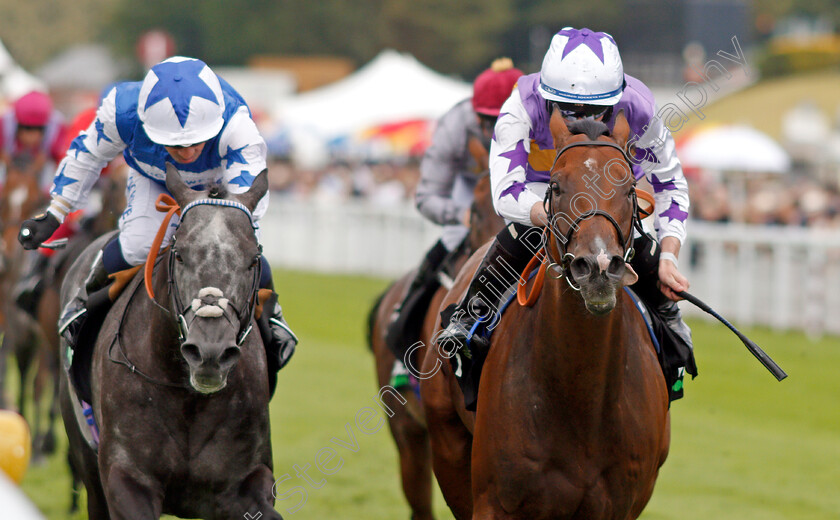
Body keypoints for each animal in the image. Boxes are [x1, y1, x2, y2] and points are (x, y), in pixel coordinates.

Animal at [60, 166, 282, 520]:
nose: (210, 352)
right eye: (180, 255)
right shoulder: (126, 479)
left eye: (252, 260)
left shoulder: (248, 480)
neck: (186, 397)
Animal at [420, 110, 668, 520]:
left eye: (630, 187)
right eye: (556, 184)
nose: (598, 267)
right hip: (447, 446)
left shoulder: (620, 505)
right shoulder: (495, 500)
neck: (582, 395)